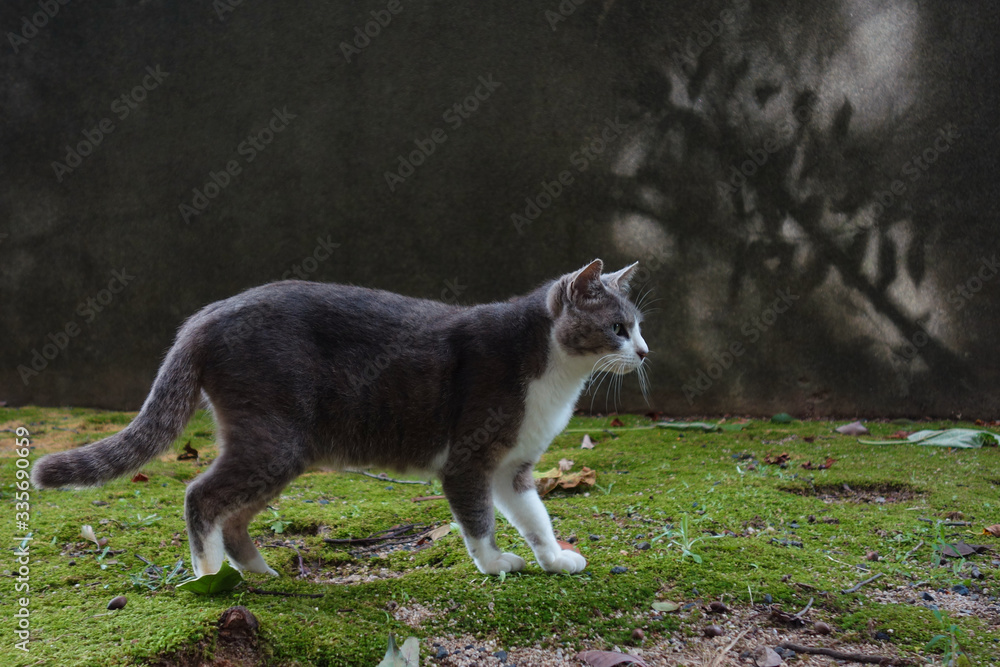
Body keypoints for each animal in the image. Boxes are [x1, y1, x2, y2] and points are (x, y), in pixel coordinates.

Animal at [33, 260, 648, 580]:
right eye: (617, 327)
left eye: (638, 325)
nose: (644, 352)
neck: (554, 372)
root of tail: (201, 319)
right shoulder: (468, 461)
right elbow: (478, 522)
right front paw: (495, 563)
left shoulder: (512, 469)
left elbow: (534, 515)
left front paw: (556, 558)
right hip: (274, 439)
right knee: (200, 496)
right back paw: (212, 577)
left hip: (283, 450)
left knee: (234, 515)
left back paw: (258, 573)